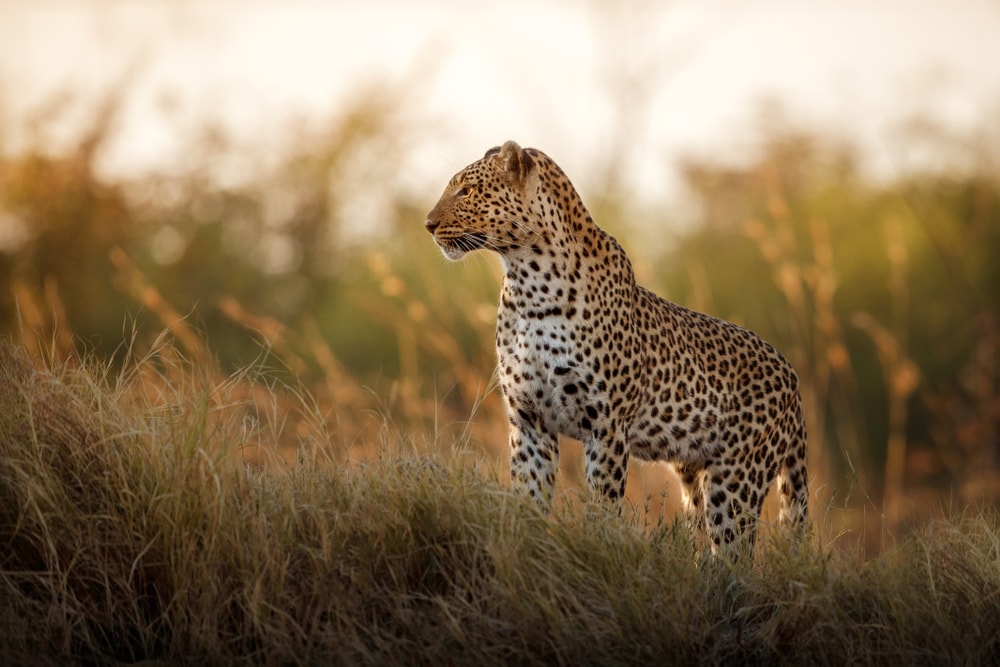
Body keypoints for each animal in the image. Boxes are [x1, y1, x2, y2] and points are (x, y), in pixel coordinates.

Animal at [425, 140, 808, 553]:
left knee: (734, 552)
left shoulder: (605, 425)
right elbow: (528, 499)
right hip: (695, 477)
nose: (428, 224)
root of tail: (792, 376)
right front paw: (526, 548)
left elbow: (603, 505)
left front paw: (596, 548)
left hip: (736, 479)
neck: (528, 283)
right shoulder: (529, 419)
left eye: (466, 191)